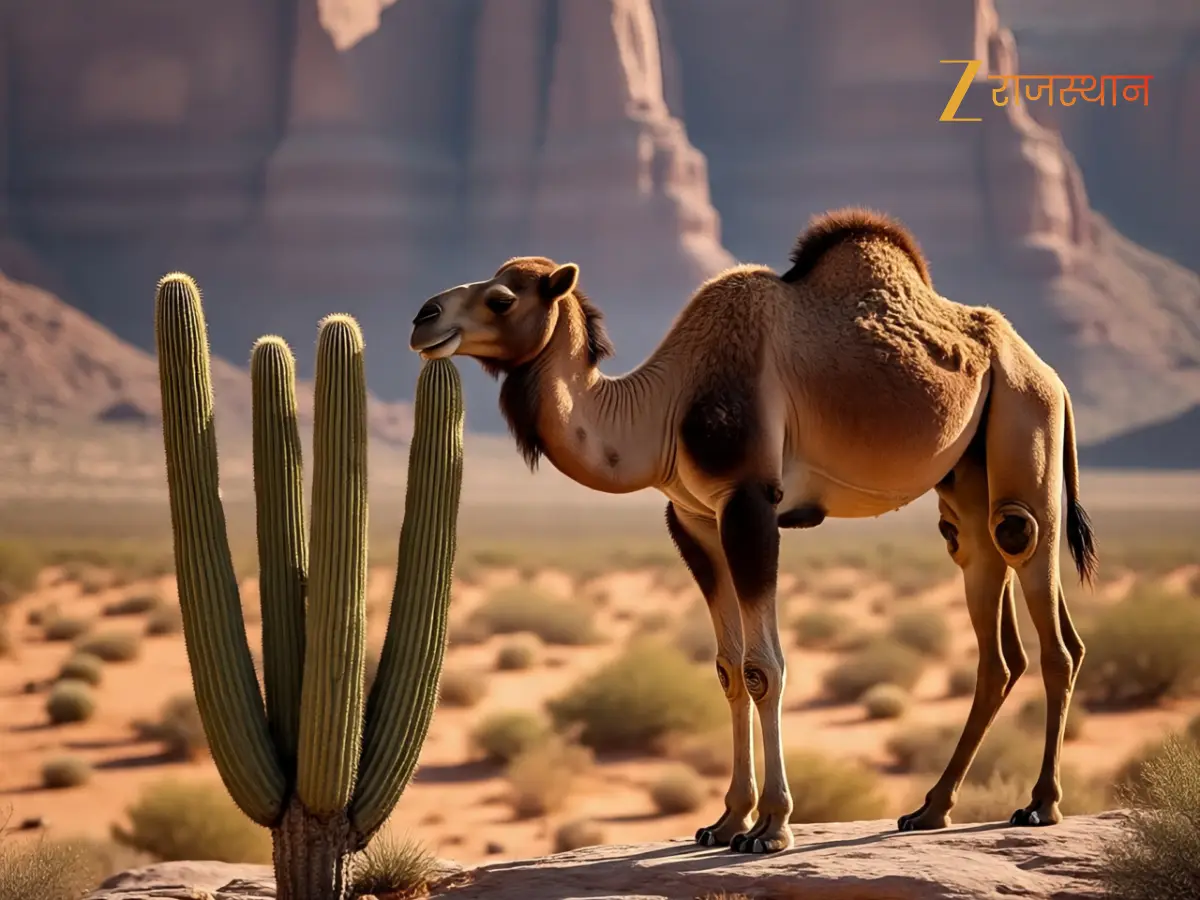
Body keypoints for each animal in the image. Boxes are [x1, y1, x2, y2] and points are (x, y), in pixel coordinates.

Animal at [408, 207, 1098, 854]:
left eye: (502, 298)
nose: (422, 317)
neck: (664, 409)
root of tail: (1052, 375)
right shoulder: (694, 519)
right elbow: (728, 670)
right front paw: (725, 821)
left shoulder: (750, 504)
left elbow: (766, 667)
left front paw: (770, 827)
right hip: (966, 482)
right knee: (995, 639)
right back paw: (929, 809)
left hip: (1025, 427)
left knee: (1042, 596)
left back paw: (1040, 804)